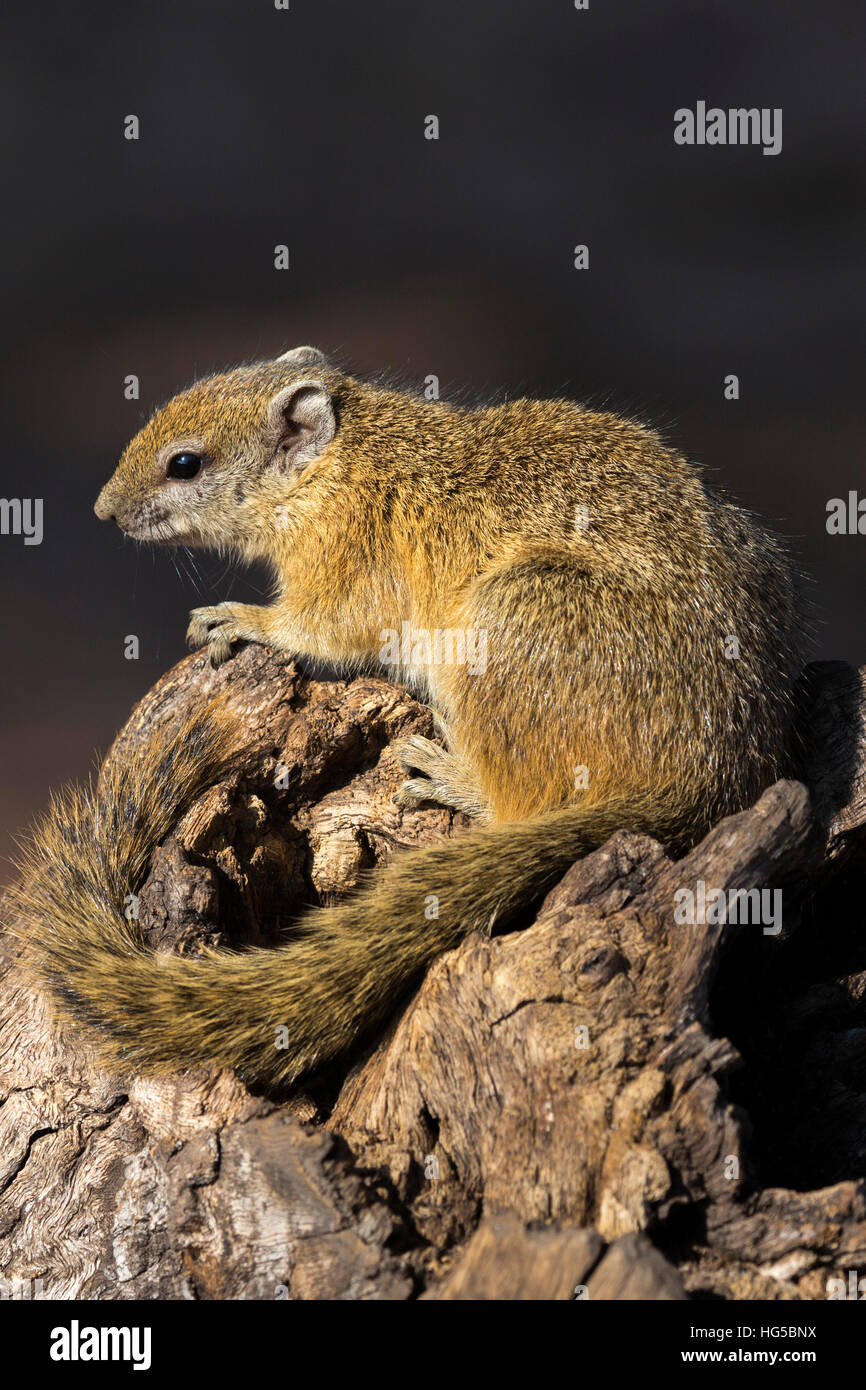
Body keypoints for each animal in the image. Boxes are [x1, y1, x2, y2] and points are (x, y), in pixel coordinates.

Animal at [10, 341, 806, 1078]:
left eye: (184, 464)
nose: (103, 509)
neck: (341, 461)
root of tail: (713, 776)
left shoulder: (343, 570)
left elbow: (316, 630)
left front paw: (239, 620)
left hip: (510, 617)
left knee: (521, 801)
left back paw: (447, 774)